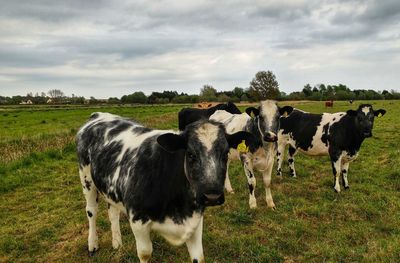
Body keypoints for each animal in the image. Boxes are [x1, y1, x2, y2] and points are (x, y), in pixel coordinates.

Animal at [76, 112, 256, 262]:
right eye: (190, 154)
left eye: (225, 154)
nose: (212, 196)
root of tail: (99, 115)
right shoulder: (138, 222)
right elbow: (145, 253)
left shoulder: (195, 222)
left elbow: (199, 257)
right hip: (86, 179)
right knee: (91, 211)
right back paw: (92, 244)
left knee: (112, 212)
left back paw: (117, 242)